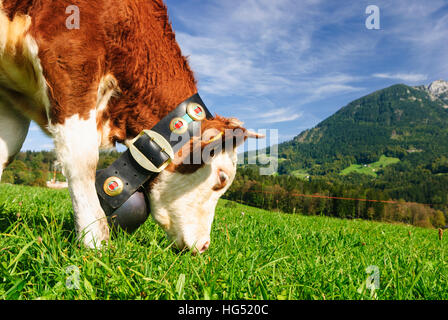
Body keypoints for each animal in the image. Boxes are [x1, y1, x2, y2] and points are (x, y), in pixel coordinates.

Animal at [0, 1, 260, 254]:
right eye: (222, 178)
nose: (205, 246)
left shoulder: (10, 97)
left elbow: (6, 151)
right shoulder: (70, 56)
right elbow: (82, 160)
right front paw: (95, 243)